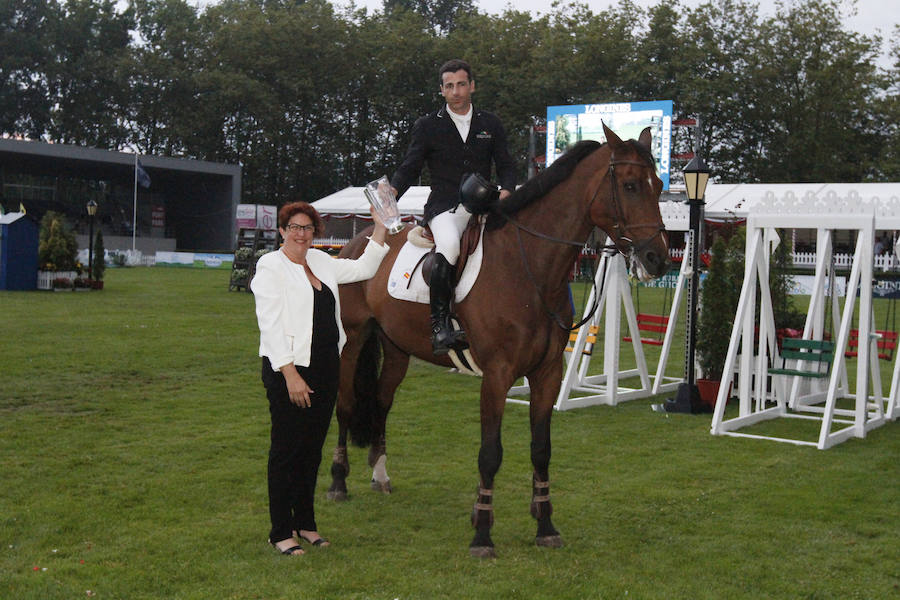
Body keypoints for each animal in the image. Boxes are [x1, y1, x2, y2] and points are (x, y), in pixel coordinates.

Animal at [326, 123, 664, 556]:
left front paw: (545, 525)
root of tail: (361, 241)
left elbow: (541, 450)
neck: (528, 267)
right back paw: (338, 481)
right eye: (630, 185)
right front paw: (482, 532)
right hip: (352, 342)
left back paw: (381, 476)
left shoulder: (547, 374)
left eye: (659, 185)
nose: (658, 259)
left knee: (383, 404)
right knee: (347, 405)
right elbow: (490, 453)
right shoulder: (498, 375)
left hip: (397, 349)